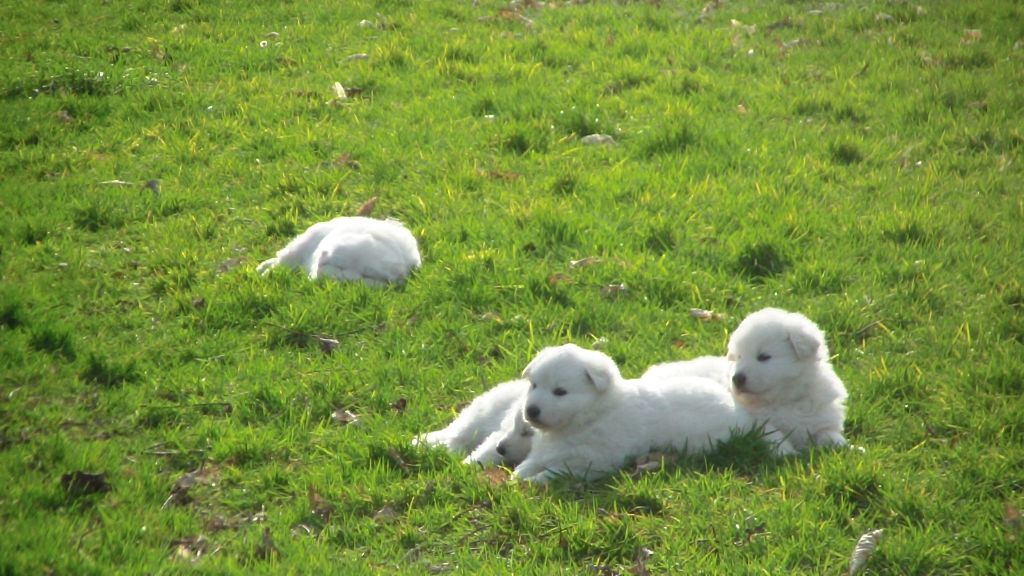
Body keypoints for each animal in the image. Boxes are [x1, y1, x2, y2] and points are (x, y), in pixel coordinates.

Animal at [256, 215, 419, 284]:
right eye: (340, 267)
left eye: (367, 276)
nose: (348, 280)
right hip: (299, 247)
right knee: (281, 261)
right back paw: (264, 271)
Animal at [512, 342, 790, 481]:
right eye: (534, 385)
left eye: (560, 392)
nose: (531, 411)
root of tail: (740, 413)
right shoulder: (547, 449)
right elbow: (530, 463)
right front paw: (519, 476)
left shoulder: (593, 461)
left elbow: (555, 471)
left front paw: (532, 481)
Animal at [729, 305, 847, 448]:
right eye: (739, 357)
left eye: (763, 357)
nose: (736, 379)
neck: (785, 400)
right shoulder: (759, 424)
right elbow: (775, 437)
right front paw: (787, 451)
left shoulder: (822, 419)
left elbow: (829, 434)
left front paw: (846, 446)